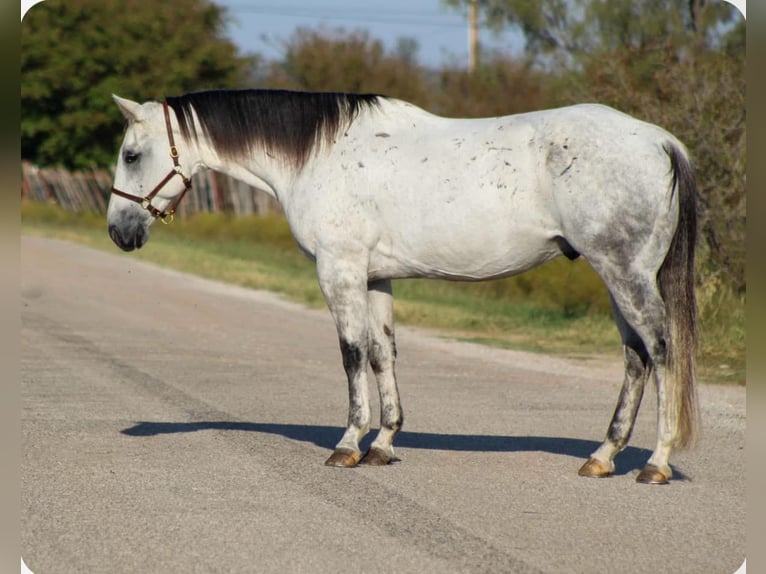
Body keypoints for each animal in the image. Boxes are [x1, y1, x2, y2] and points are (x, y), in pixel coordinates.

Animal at [107, 89, 699, 484]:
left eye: (132, 155)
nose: (118, 232)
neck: (319, 155)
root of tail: (660, 141)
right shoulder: (376, 278)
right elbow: (381, 354)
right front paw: (385, 444)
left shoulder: (340, 271)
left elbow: (350, 354)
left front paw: (349, 444)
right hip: (617, 278)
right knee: (635, 358)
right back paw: (603, 456)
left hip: (624, 272)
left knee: (661, 349)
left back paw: (656, 462)